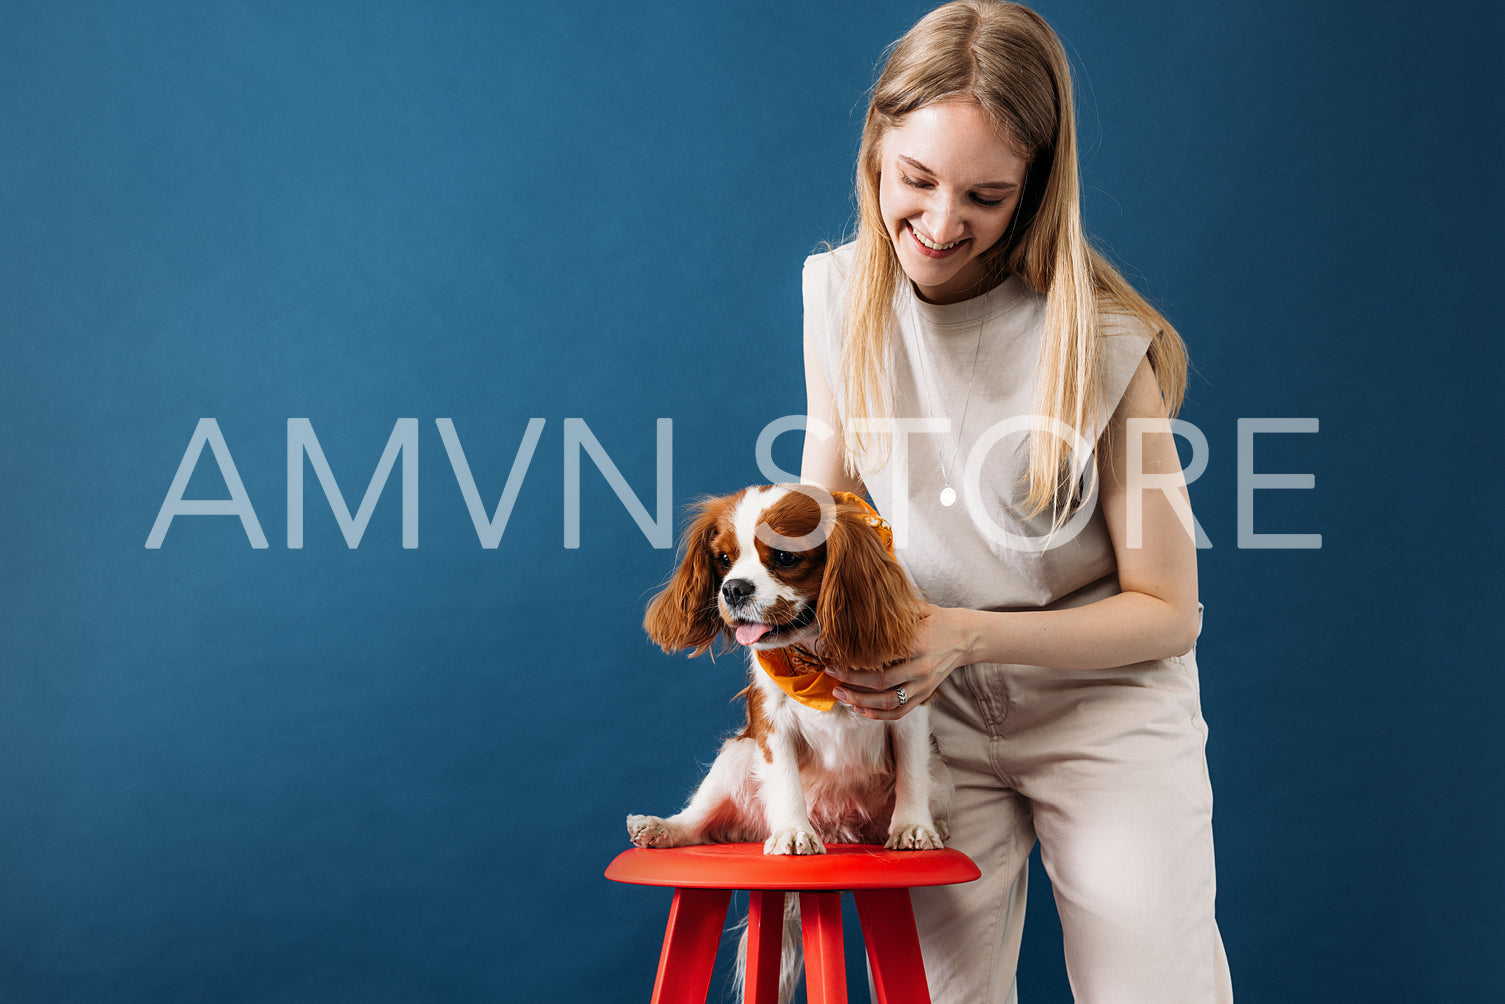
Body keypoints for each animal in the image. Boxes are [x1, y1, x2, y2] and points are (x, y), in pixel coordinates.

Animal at [629, 484, 945, 854]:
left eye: (784, 558)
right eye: (724, 559)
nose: (733, 588)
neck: (816, 660)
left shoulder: (907, 710)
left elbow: (912, 773)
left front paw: (914, 826)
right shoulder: (770, 719)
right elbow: (784, 778)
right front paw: (793, 831)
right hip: (737, 754)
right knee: (699, 822)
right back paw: (662, 828)